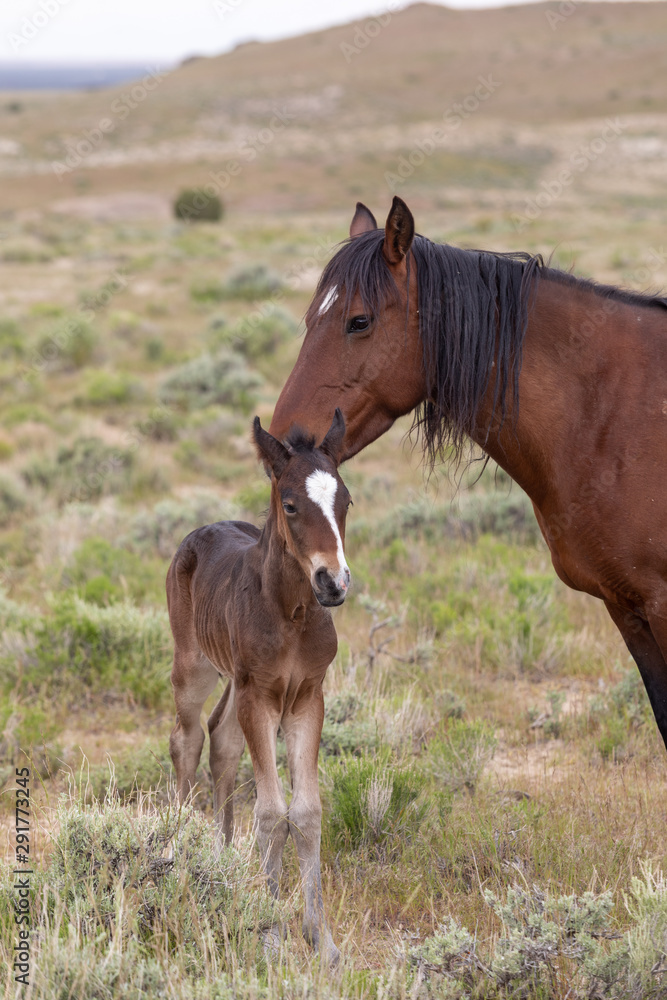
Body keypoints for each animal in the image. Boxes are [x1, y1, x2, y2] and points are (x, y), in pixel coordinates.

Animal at [166, 410, 351, 965]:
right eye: (290, 505)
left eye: (346, 501)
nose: (334, 583)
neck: (291, 613)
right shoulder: (260, 698)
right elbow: (270, 814)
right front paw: (269, 934)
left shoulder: (306, 698)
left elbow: (306, 812)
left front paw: (321, 939)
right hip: (196, 668)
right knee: (187, 739)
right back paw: (173, 850)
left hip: (234, 681)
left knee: (220, 739)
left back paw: (222, 856)